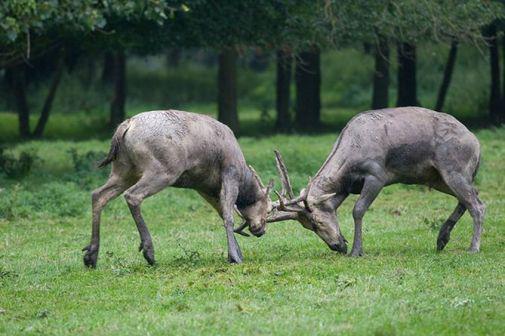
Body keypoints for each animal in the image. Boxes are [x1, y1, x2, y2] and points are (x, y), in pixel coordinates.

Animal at [82, 110, 272, 268]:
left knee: (98, 194)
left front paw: (235, 252)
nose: (261, 230)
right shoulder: (229, 172)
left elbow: (221, 212)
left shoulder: (203, 186)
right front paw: (234, 256)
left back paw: (91, 256)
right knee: (133, 195)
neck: (244, 176)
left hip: (123, 170)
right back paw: (149, 252)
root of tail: (125, 126)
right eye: (269, 209)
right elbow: (228, 215)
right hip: (163, 169)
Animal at [264, 107, 484, 258]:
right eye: (308, 227)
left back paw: (473, 247)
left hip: (454, 168)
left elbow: (358, 209)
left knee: (477, 205)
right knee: (472, 197)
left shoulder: (377, 175)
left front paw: (356, 251)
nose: (337, 246)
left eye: (316, 222)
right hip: (438, 177)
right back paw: (441, 239)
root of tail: (476, 142)